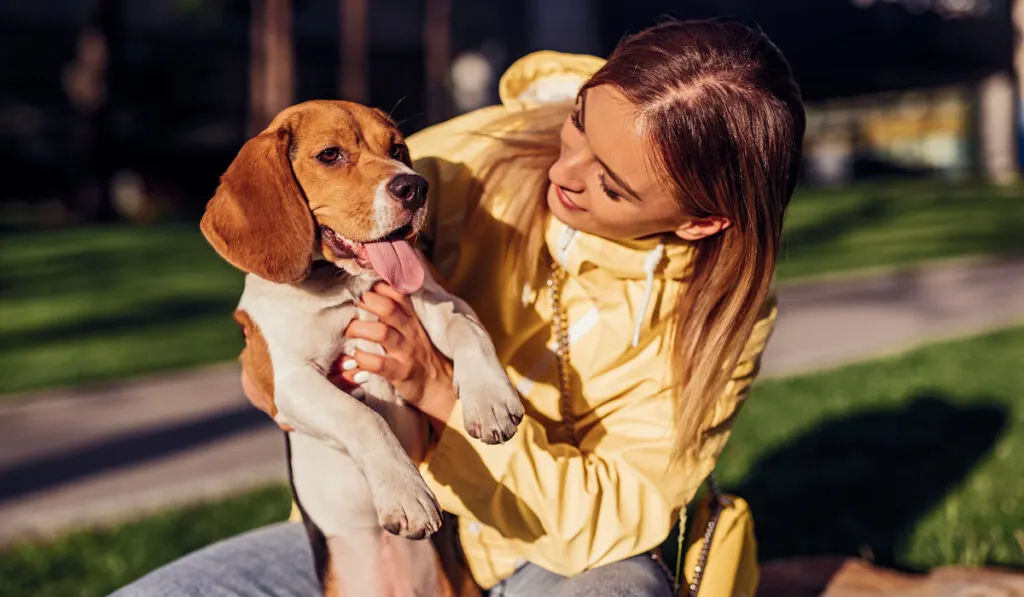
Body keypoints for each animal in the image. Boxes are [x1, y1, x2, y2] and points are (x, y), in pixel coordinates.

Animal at [200, 101, 524, 597]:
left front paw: (490, 401)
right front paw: (407, 494)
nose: (415, 187)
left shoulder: (439, 299)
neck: (345, 286)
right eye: (330, 155)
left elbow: (469, 330)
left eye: (397, 149)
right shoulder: (286, 383)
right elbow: (363, 417)